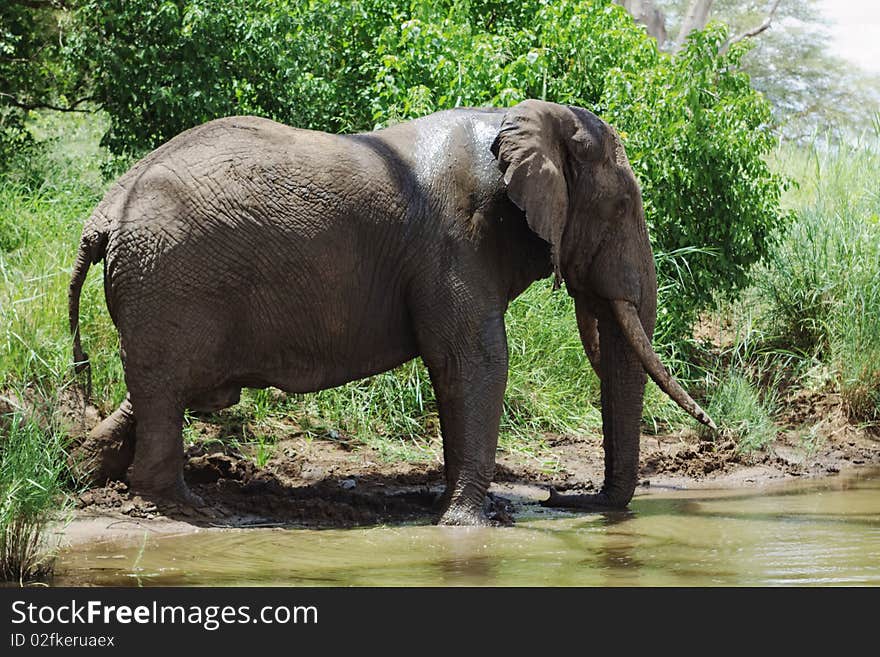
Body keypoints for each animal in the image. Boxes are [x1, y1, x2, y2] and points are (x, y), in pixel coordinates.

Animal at [69, 100, 716, 524]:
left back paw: (93, 471)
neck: (523, 117)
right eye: (625, 205)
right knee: (165, 389)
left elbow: (460, 369)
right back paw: (187, 507)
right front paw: (466, 525)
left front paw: (458, 510)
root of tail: (105, 213)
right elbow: (474, 361)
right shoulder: (457, 239)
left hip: (160, 286)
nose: (563, 497)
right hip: (172, 279)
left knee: (154, 388)